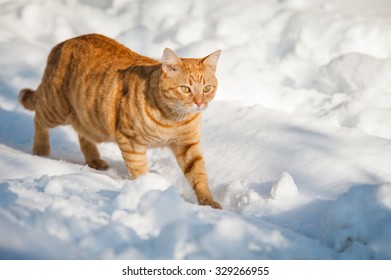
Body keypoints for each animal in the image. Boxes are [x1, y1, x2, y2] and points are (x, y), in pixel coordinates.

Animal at [19, 34, 222, 208]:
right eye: (185, 89)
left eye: (207, 88)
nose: (199, 102)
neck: (173, 119)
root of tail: (63, 43)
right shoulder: (131, 140)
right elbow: (139, 169)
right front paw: (146, 189)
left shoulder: (188, 144)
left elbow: (198, 174)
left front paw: (208, 201)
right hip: (56, 108)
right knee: (39, 118)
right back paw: (41, 150)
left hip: (90, 119)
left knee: (82, 134)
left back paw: (94, 160)